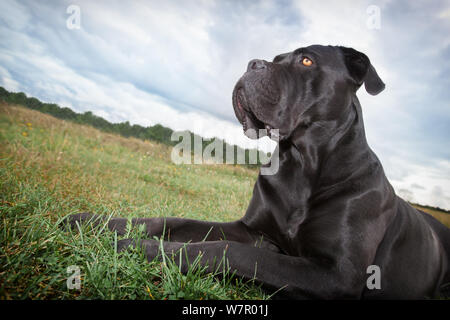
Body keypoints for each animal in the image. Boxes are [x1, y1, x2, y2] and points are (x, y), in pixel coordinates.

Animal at [64, 44, 450, 298]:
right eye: (276, 59)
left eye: (306, 60)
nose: (253, 63)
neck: (301, 163)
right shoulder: (252, 229)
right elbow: (173, 221)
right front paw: (96, 222)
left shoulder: (339, 275)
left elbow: (227, 250)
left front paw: (139, 247)